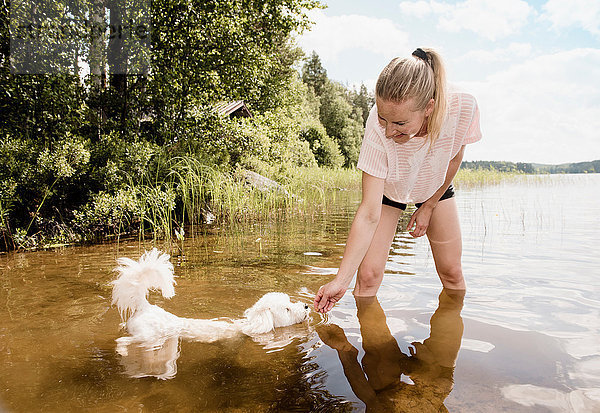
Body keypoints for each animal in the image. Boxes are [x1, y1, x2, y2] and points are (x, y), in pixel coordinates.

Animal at [110, 248, 312, 350]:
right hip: (147, 336)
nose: (306, 306)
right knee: (124, 342)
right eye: (287, 309)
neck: (247, 325)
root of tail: (144, 306)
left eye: (290, 301)